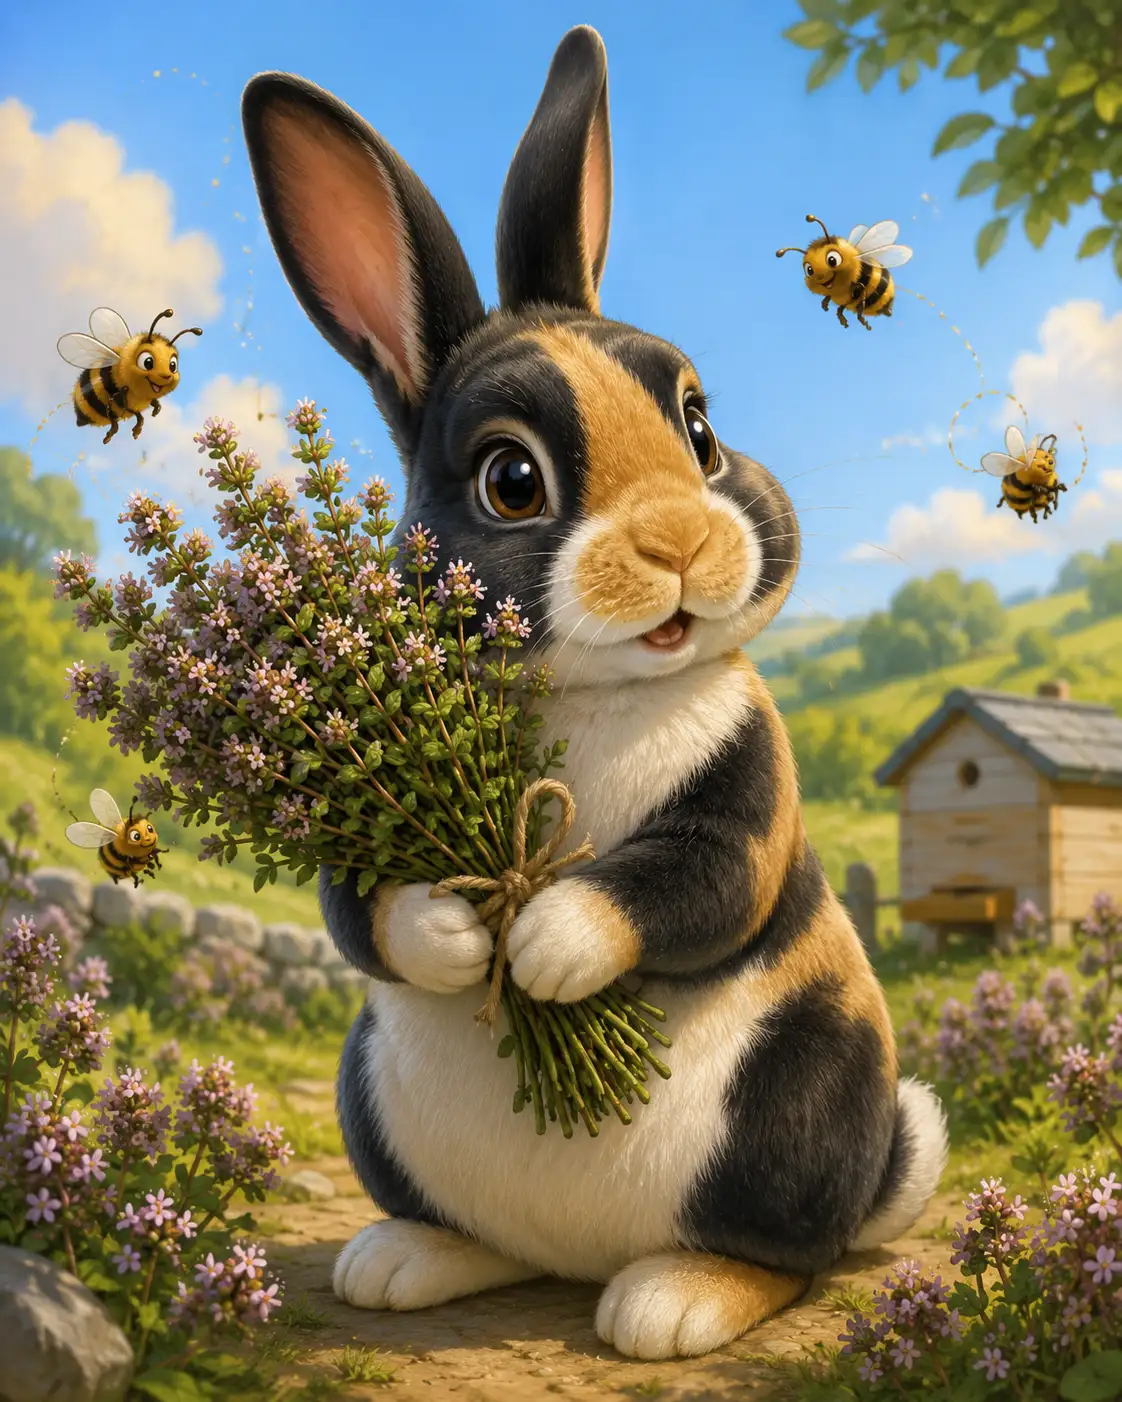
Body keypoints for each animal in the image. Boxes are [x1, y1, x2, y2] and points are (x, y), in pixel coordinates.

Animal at [241, 24, 947, 1362]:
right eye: (510, 480)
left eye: (701, 428)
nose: (679, 541)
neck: (597, 689)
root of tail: (578, 1258)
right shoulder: (355, 835)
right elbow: (366, 910)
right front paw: (460, 931)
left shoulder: (744, 806)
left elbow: (692, 882)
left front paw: (547, 944)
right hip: (376, 1095)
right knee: (481, 1235)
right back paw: (401, 1261)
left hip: (800, 1094)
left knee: (791, 1256)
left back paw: (673, 1300)